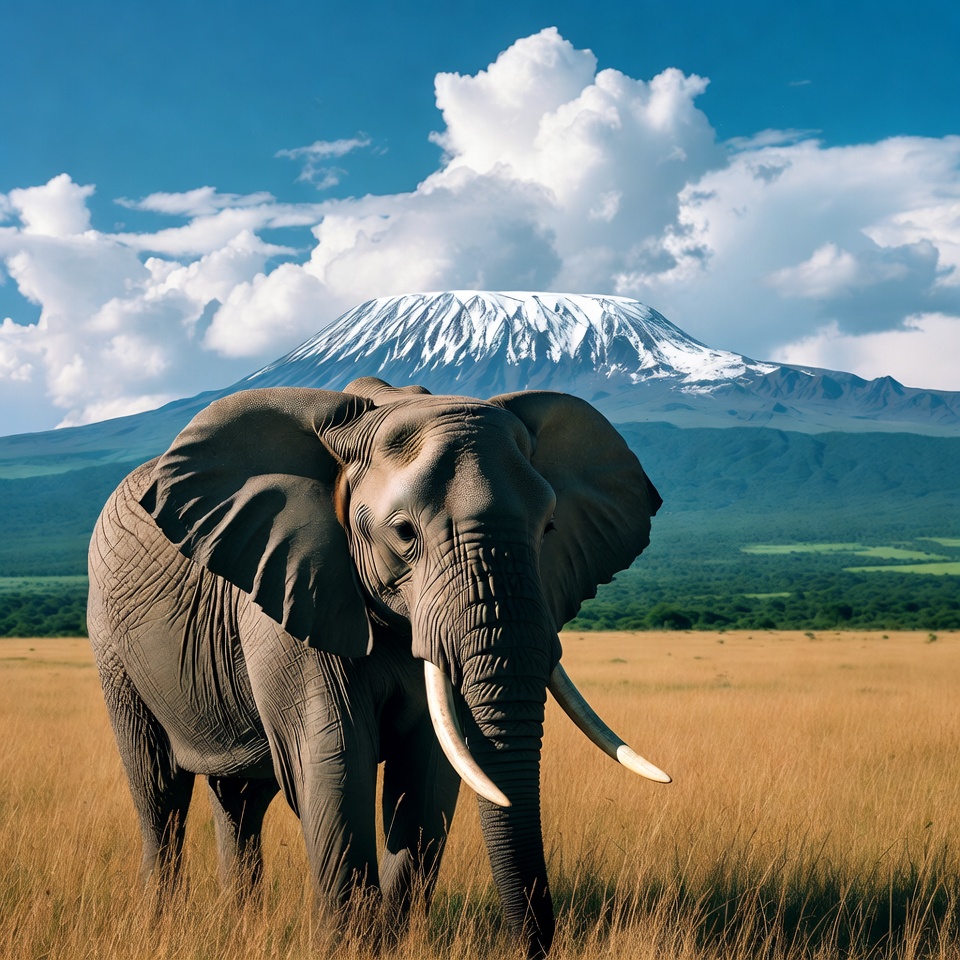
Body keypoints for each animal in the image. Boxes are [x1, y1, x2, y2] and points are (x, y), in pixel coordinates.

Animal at [87, 376, 668, 958]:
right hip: (111, 643)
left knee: (239, 801)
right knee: (159, 794)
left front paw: (386, 943)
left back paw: (240, 926)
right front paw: (344, 947)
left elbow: (428, 777)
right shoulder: (291, 591)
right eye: (405, 533)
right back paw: (160, 924)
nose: (531, 945)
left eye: (549, 528)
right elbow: (336, 762)